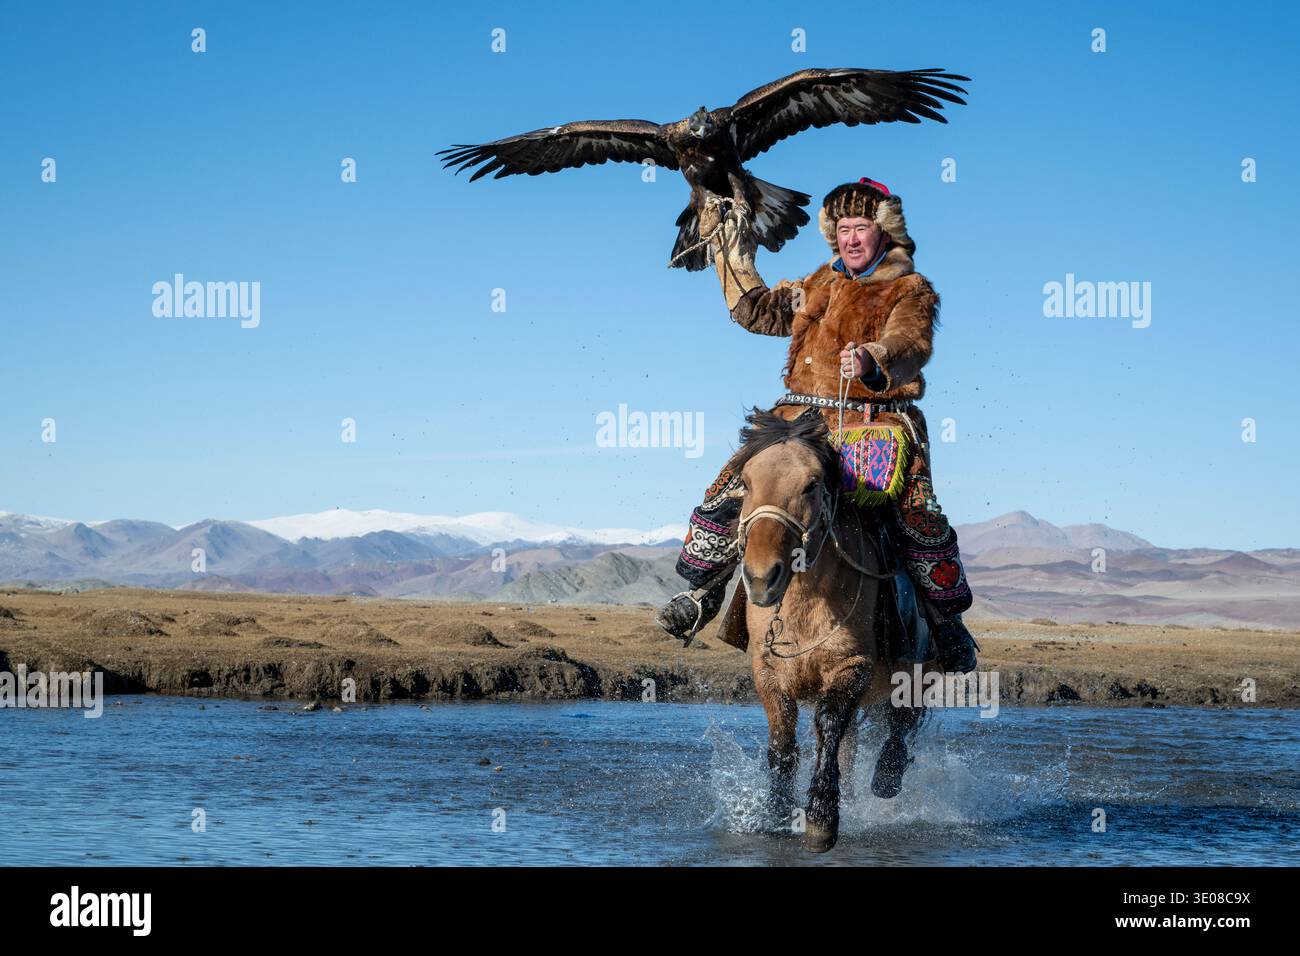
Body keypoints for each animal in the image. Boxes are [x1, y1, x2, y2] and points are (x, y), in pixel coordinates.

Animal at [727, 406, 926, 853]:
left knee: (902, 723)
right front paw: (777, 812)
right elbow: (783, 743)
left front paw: (820, 817)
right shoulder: (767, 673)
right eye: (745, 482)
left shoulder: (852, 667)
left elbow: (829, 724)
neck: (803, 606)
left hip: (917, 672)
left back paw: (886, 778)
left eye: (812, 485)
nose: (761, 578)